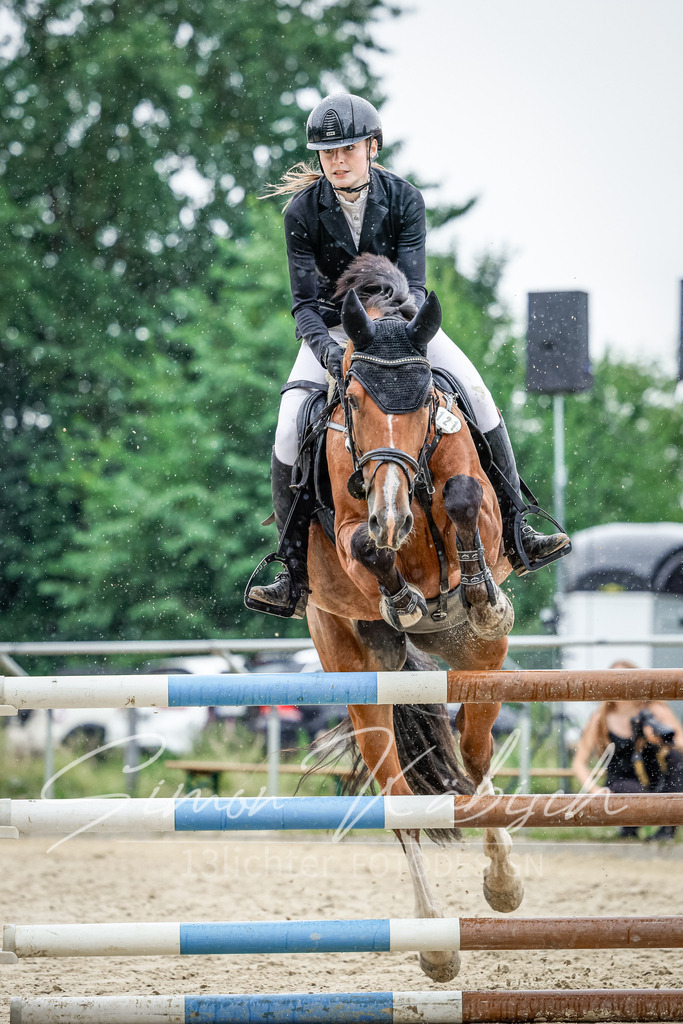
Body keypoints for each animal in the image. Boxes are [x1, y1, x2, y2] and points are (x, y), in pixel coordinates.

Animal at [301, 254, 521, 983]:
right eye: (355, 402)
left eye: (426, 397)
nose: (393, 512)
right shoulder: (350, 527)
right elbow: (368, 547)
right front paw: (397, 589)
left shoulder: (475, 501)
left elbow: (464, 496)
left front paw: (479, 587)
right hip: (358, 674)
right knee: (399, 797)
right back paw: (434, 944)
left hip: (481, 662)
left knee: (474, 760)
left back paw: (503, 886)